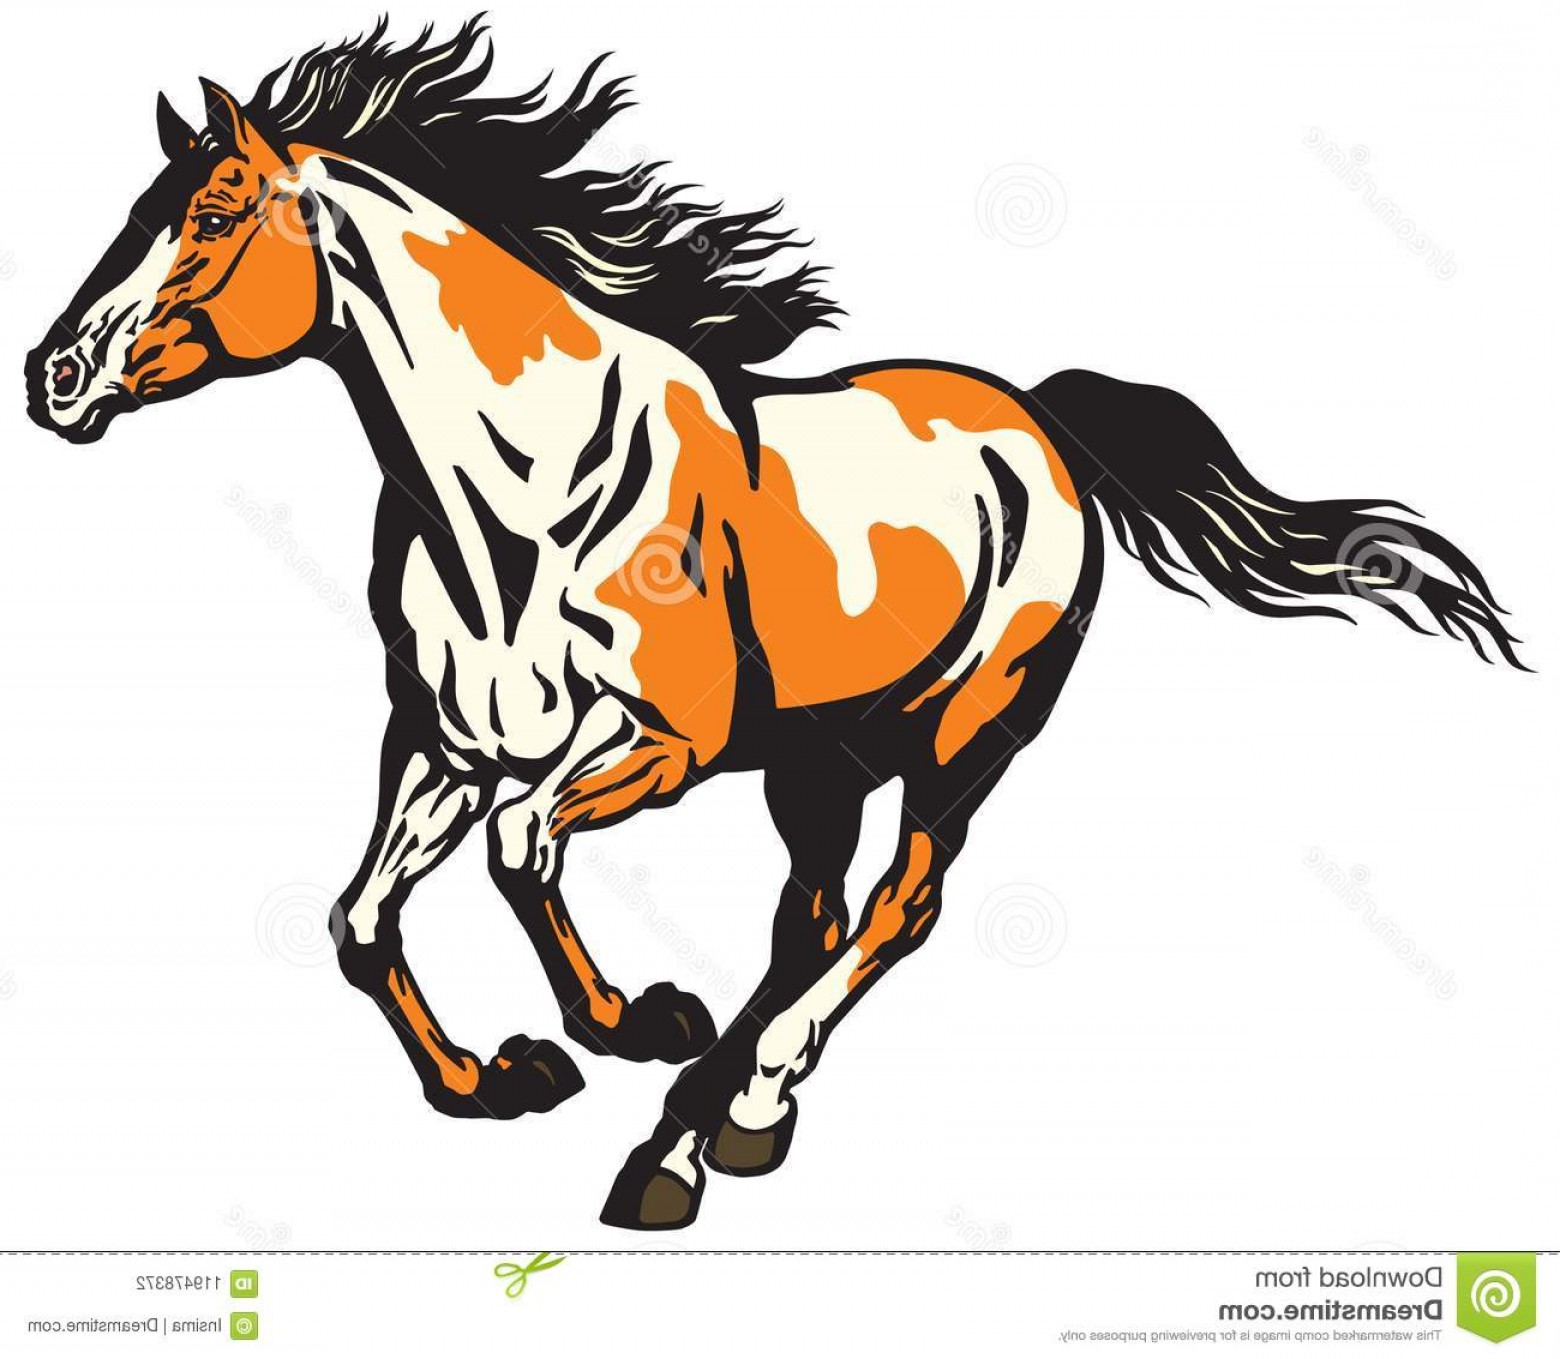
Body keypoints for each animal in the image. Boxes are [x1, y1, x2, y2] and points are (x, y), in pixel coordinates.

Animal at [25, 19, 1523, 1231]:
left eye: (217, 209)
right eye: (142, 205)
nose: (53, 374)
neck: (525, 494)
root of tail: (1039, 421)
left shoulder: (664, 743)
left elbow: (523, 850)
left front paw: (622, 1023)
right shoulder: (447, 745)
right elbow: (360, 919)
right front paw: (494, 1080)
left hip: (967, 733)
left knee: (896, 910)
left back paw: (728, 1116)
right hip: (823, 756)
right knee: (811, 920)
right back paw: (695, 1136)